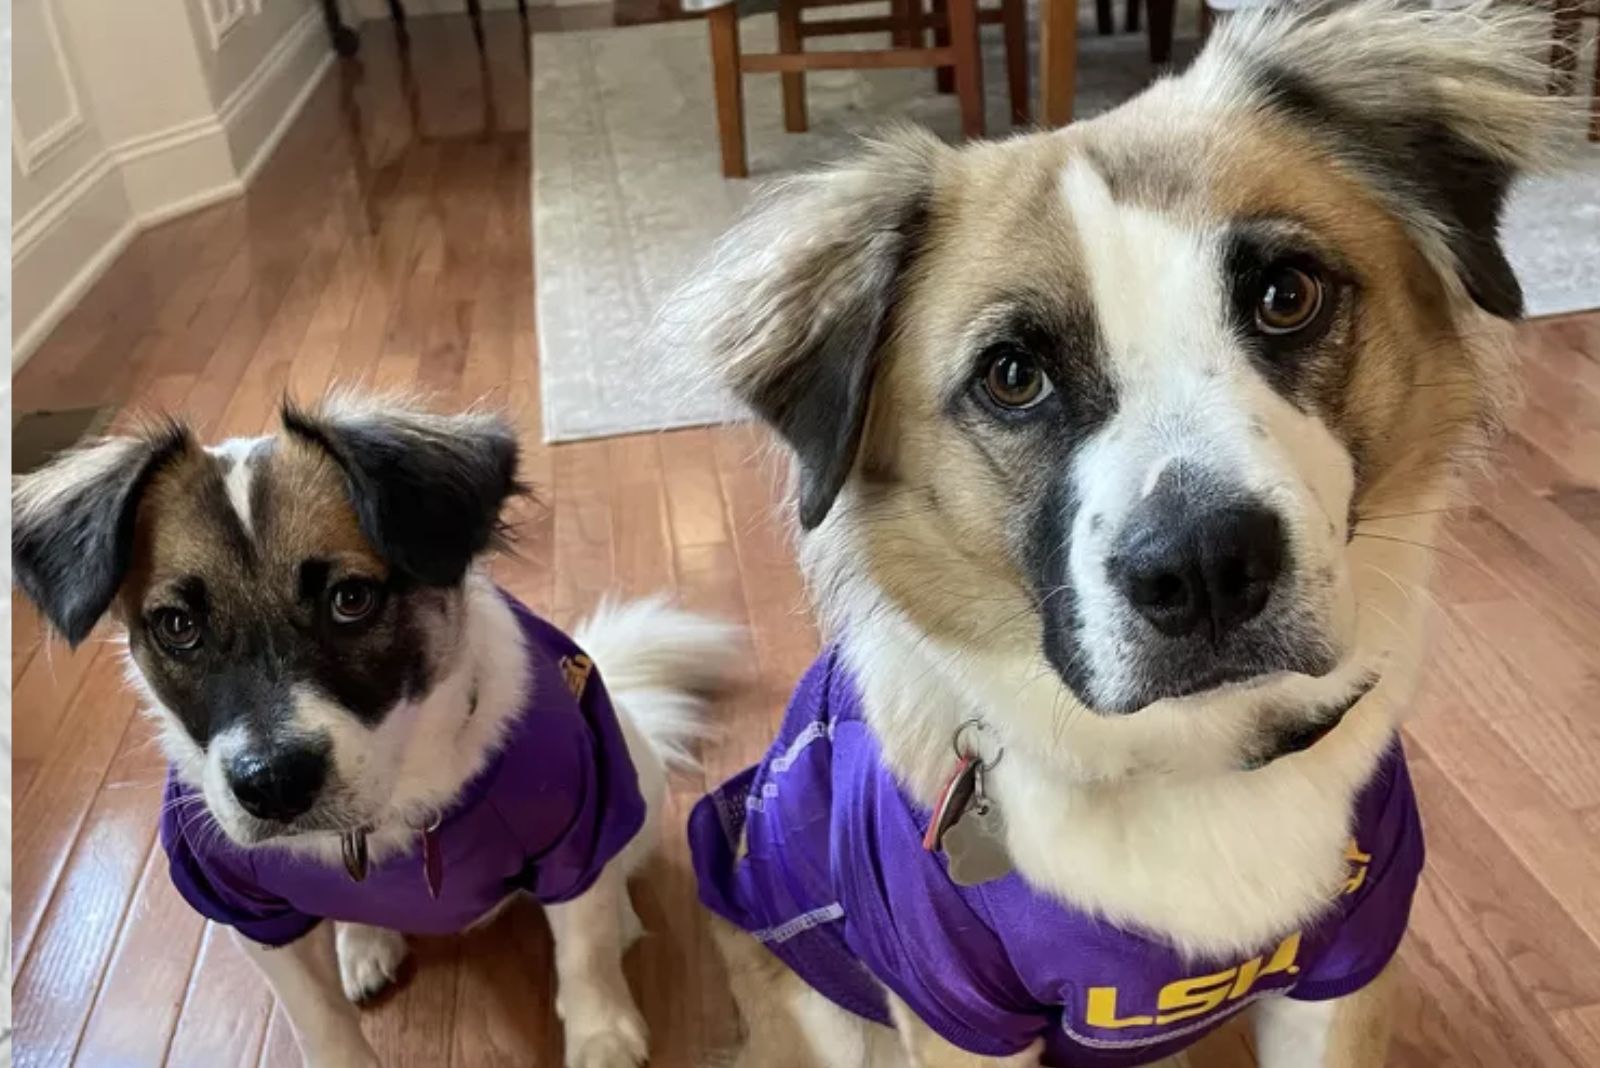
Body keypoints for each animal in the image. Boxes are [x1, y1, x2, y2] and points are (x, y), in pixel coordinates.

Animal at [12, 394, 739, 1068]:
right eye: (177, 626)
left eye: (351, 599)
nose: (275, 786)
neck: (372, 825)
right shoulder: (248, 909)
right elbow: (318, 1018)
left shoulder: (576, 822)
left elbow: (584, 950)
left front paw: (602, 1035)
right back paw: (365, 944)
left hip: (631, 767)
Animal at [668, 2, 1568, 1068]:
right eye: (1013, 375)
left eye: (1287, 295)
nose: (1207, 569)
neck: (1192, 759)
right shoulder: (953, 1006)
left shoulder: (1346, 964)